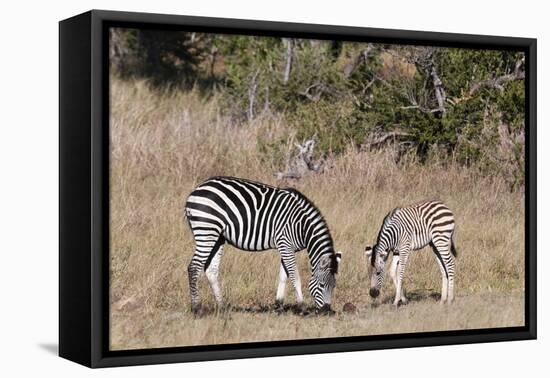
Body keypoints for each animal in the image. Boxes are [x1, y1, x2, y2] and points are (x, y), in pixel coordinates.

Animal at [183, 176, 342, 314]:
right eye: (322, 285)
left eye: (334, 286)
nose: (326, 311)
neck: (301, 225)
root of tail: (195, 191)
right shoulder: (285, 244)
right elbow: (295, 276)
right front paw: (302, 307)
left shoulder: (286, 247)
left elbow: (283, 276)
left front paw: (279, 305)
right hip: (206, 230)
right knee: (194, 267)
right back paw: (197, 309)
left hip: (217, 236)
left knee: (211, 270)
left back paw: (222, 307)